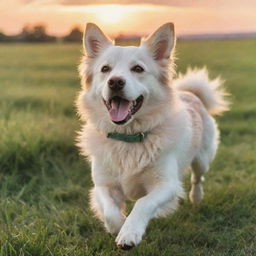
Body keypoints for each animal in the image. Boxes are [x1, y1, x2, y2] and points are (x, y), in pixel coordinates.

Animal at [75, 22, 228, 250]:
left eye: (138, 69)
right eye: (105, 69)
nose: (115, 82)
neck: (128, 137)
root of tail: (191, 94)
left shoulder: (167, 185)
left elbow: (143, 203)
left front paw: (129, 232)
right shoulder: (103, 185)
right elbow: (110, 211)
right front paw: (119, 226)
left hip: (203, 158)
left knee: (197, 178)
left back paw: (196, 198)